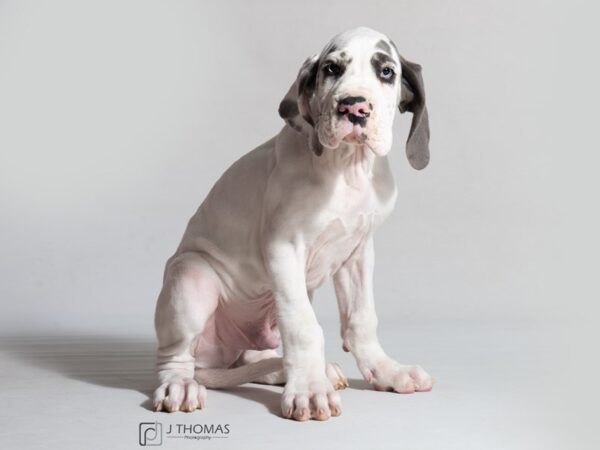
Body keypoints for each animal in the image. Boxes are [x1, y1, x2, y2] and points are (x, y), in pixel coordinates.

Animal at [152, 26, 434, 420]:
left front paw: (387, 370)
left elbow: (362, 319)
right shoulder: (283, 247)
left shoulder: (358, 251)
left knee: (252, 359)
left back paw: (284, 370)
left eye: (387, 71)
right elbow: (303, 325)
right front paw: (310, 391)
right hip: (190, 275)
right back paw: (180, 385)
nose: (354, 107)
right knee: (174, 357)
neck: (346, 167)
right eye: (331, 68)